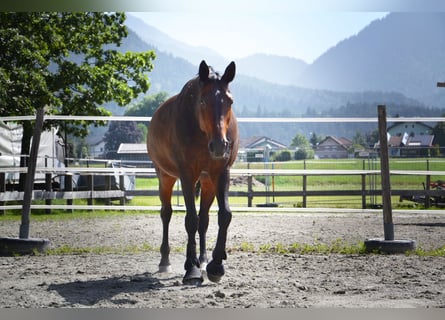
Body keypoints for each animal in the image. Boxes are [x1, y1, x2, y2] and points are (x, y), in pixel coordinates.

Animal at [147, 60, 238, 284]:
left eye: (229, 101)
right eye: (203, 101)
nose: (220, 145)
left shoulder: (221, 173)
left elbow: (224, 215)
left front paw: (216, 265)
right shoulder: (187, 175)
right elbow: (190, 219)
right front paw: (191, 268)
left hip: (207, 182)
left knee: (204, 219)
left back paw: (204, 261)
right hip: (165, 177)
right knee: (166, 213)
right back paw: (165, 261)